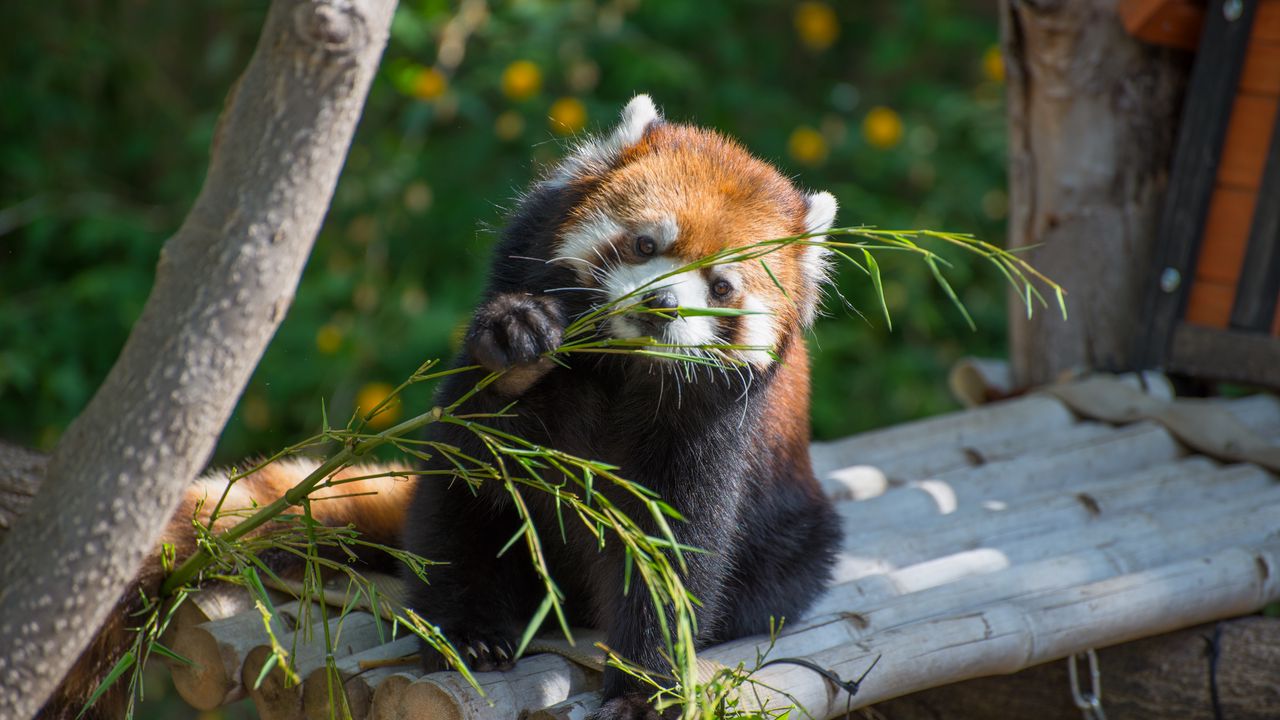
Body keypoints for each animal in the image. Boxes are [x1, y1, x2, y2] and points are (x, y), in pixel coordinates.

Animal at [47, 95, 839, 717]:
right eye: (646, 243)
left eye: (722, 287)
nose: (661, 305)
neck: (619, 364)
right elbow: (479, 440)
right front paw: (520, 343)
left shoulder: (713, 419)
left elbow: (670, 542)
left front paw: (648, 687)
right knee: (462, 506)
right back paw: (468, 630)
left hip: (798, 531)